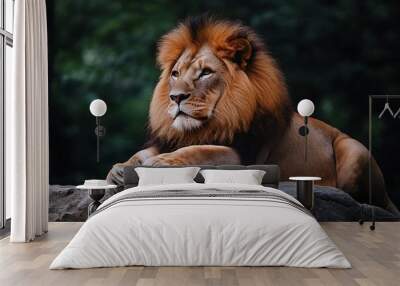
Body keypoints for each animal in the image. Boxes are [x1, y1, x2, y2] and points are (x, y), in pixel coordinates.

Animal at [108, 15, 398, 212]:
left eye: (205, 73)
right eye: (176, 74)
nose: (176, 97)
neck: (210, 123)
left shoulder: (243, 156)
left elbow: (200, 151)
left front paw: (162, 163)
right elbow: (143, 153)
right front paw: (120, 169)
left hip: (355, 151)